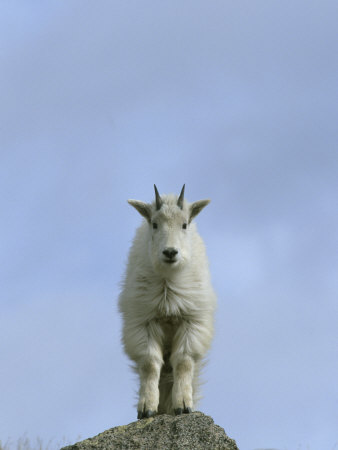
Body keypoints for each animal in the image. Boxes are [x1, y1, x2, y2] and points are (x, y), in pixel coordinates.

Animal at [117, 185, 215, 418]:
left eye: (184, 224)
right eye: (154, 224)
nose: (170, 252)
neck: (167, 285)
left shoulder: (191, 322)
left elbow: (184, 362)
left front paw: (183, 405)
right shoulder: (144, 322)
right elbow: (150, 364)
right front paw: (147, 409)